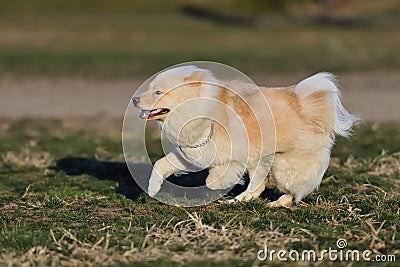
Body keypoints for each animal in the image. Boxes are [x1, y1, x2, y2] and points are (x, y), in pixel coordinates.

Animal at [133, 66, 358, 208]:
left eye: (158, 92)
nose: (134, 99)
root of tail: (308, 108)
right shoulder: (191, 154)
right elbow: (161, 165)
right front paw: (152, 189)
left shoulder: (232, 157)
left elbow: (212, 179)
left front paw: (222, 184)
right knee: (259, 188)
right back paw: (238, 201)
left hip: (283, 165)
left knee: (291, 191)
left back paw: (275, 203)